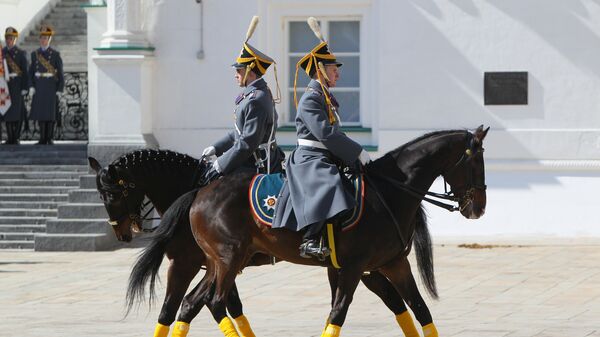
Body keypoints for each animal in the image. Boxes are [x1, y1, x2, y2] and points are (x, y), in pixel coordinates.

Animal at [91, 149, 440, 336]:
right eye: (101, 194)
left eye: (112, 194)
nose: (122, 234)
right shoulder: (215, 265)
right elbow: (210, 307)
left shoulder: (188, 264)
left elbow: (175, 310)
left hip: (364, 267)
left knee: (396, 301)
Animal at [184, 124, 488, 334]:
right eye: (475, 161)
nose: (479, 208)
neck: (390, 191)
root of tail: (201, 192)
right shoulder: (354, 268)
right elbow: (338, 313)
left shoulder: (393, 264)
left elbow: (420, 310)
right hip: (229, 259)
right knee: (215, 302)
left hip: (220, 262)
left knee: (192, 302)